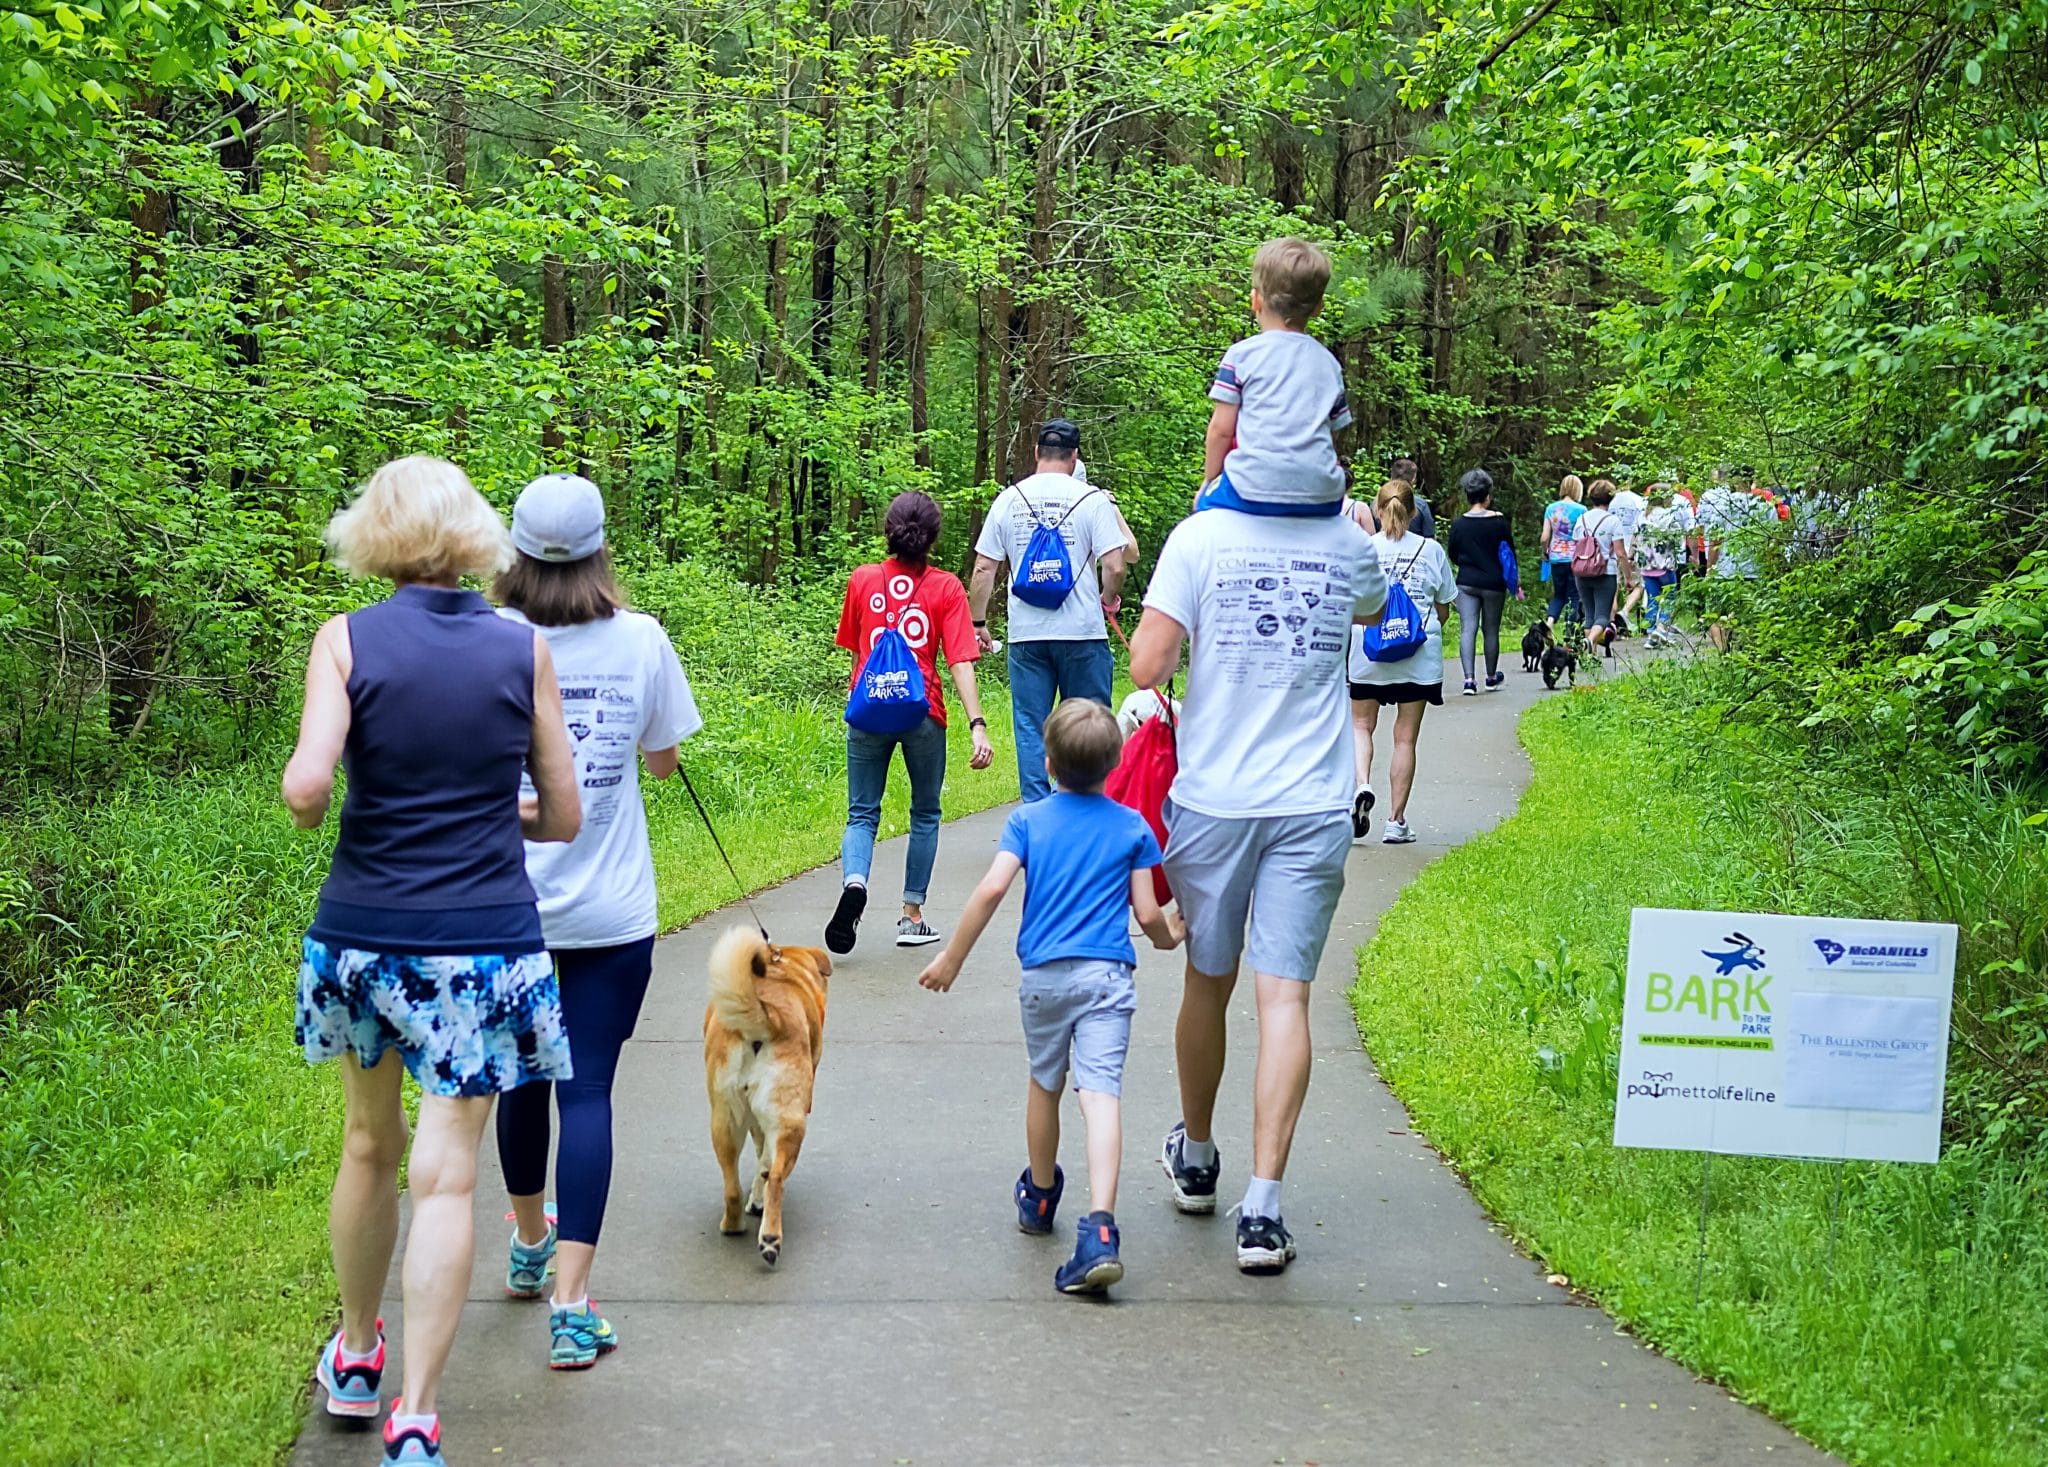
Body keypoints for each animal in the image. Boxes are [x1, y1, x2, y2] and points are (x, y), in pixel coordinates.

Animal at [704, 934, 831, 1270]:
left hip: (724, 1119)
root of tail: (770, 1016)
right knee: (775, 1179)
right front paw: (758, 1200)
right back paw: (770, 1238)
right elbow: (765, 1162)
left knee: (732, 1185)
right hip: (791, 1123)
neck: (783, 969)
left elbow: (760, 1160)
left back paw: (733, 1226)